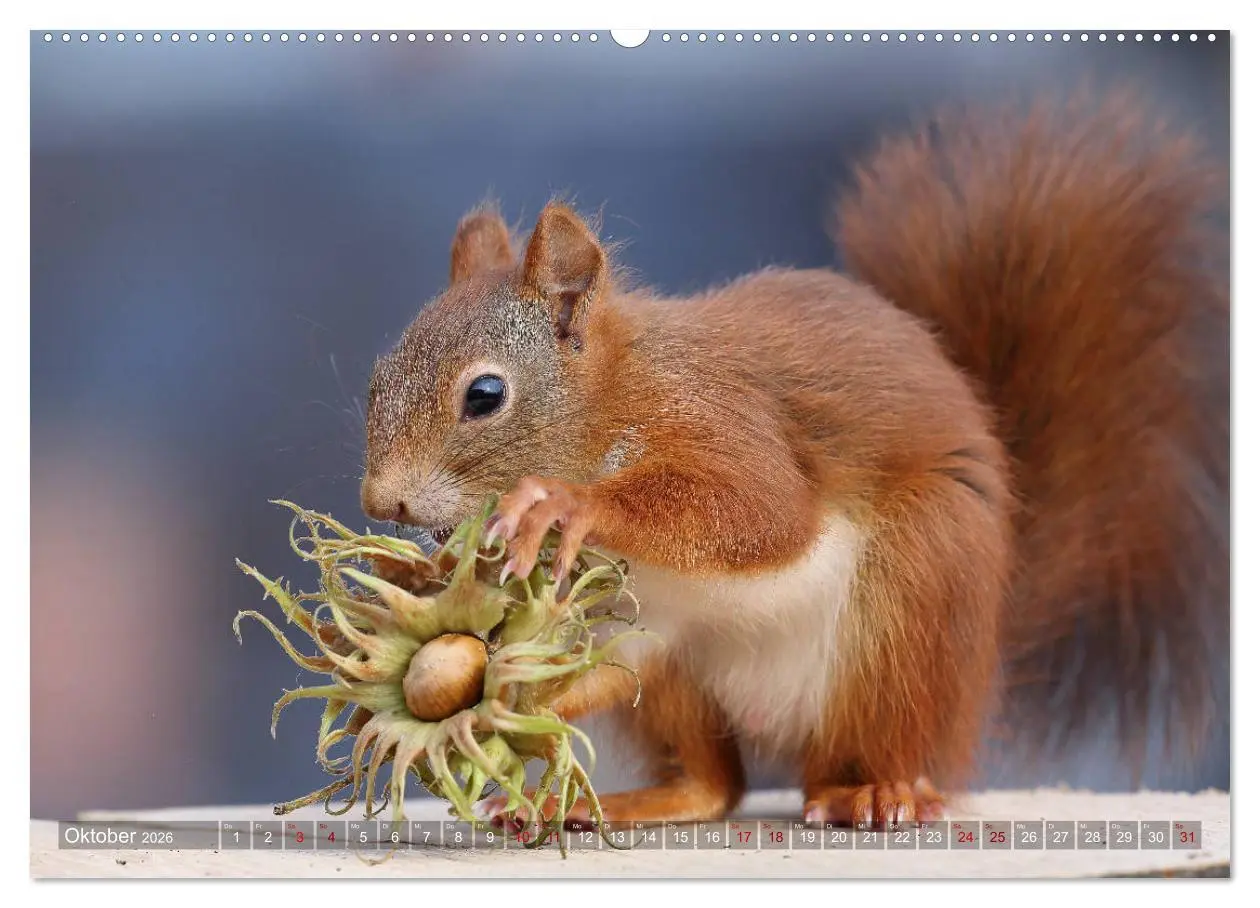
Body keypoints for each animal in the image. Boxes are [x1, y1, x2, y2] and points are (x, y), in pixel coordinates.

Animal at [359, 90, 1228, 829]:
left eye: (485, 395)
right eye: (377, 378)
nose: (381, 502)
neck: (611, 399)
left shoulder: (722, 419)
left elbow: (762, 511)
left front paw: (565, 502)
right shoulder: (624, 608)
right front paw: (493, 665)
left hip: (912, 600)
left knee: (881, 747)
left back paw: (878, 792)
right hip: (677, 668)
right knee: (713, 780)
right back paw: (615, 798)